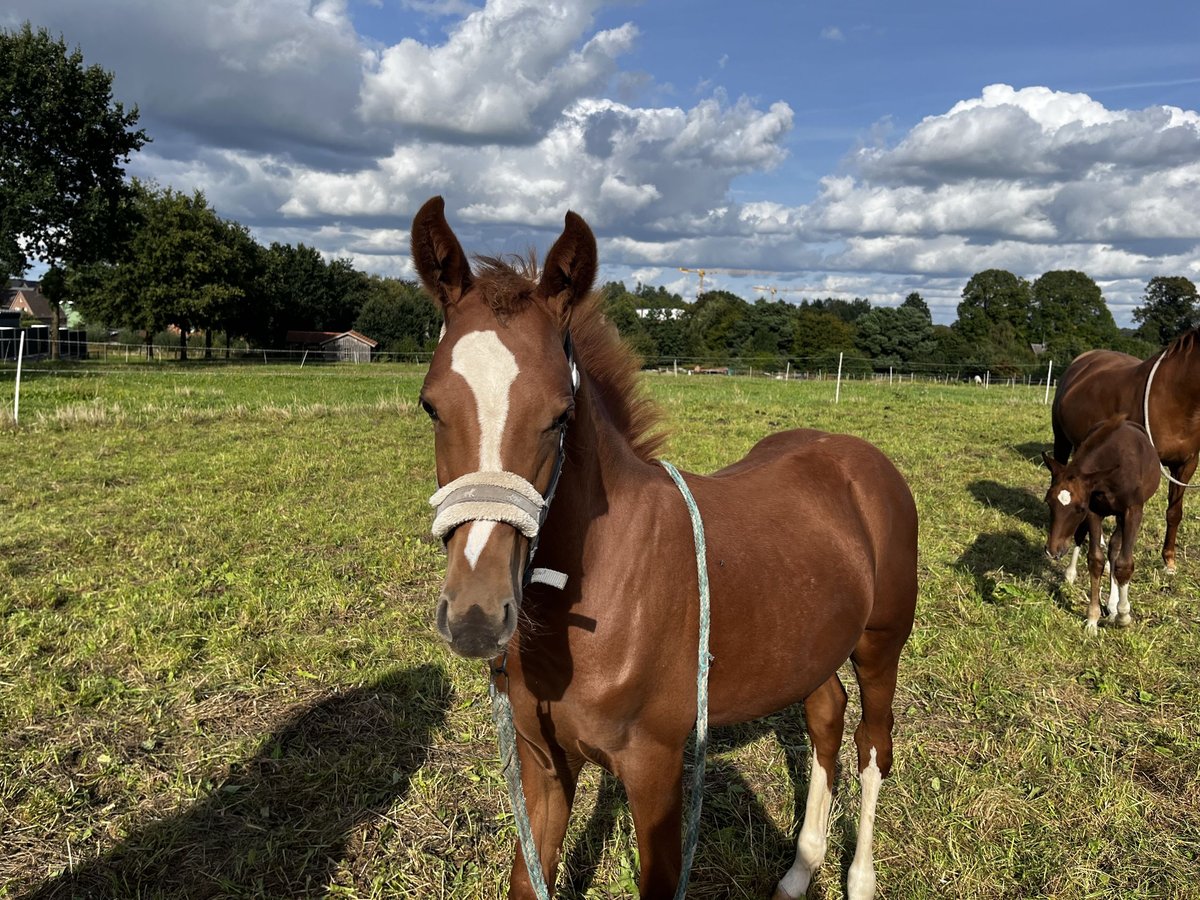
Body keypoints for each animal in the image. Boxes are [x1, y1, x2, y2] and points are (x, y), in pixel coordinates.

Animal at [412, 199, 916, 900]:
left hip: (879, 646)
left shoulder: (656, 774)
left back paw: (858, 878)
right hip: (812, 642)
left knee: (874, 747)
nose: (477, 617)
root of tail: (861, 460)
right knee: (827, 717)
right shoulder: (543, 766)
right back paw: (798, 871)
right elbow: (528, 878)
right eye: (431, 406)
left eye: (561, 415)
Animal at [1041, 417, 1161, 633]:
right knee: (1090, 540)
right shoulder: (1094, 511)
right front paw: (1092, 620)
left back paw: (1115, 606)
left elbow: (1124, 563)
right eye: (1048, 502)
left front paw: (1123, 615)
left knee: (1115, 547)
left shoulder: (1132, 511)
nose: (1052, 550)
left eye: (1079, 508)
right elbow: (1095, 560)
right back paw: (1074, 575)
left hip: (1123, 515)